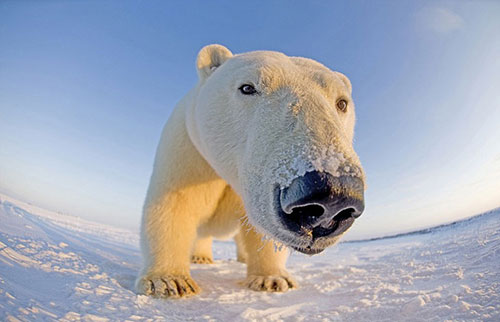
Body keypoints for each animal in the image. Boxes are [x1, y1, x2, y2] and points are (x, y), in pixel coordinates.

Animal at [135, 44, 366, 298]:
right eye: (247, 87)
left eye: (342, 103)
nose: (332, 196)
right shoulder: (190, 151)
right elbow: (175, 204)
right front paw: (168, 282)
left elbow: (259, 232)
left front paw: (273, 279)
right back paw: (200, 257)